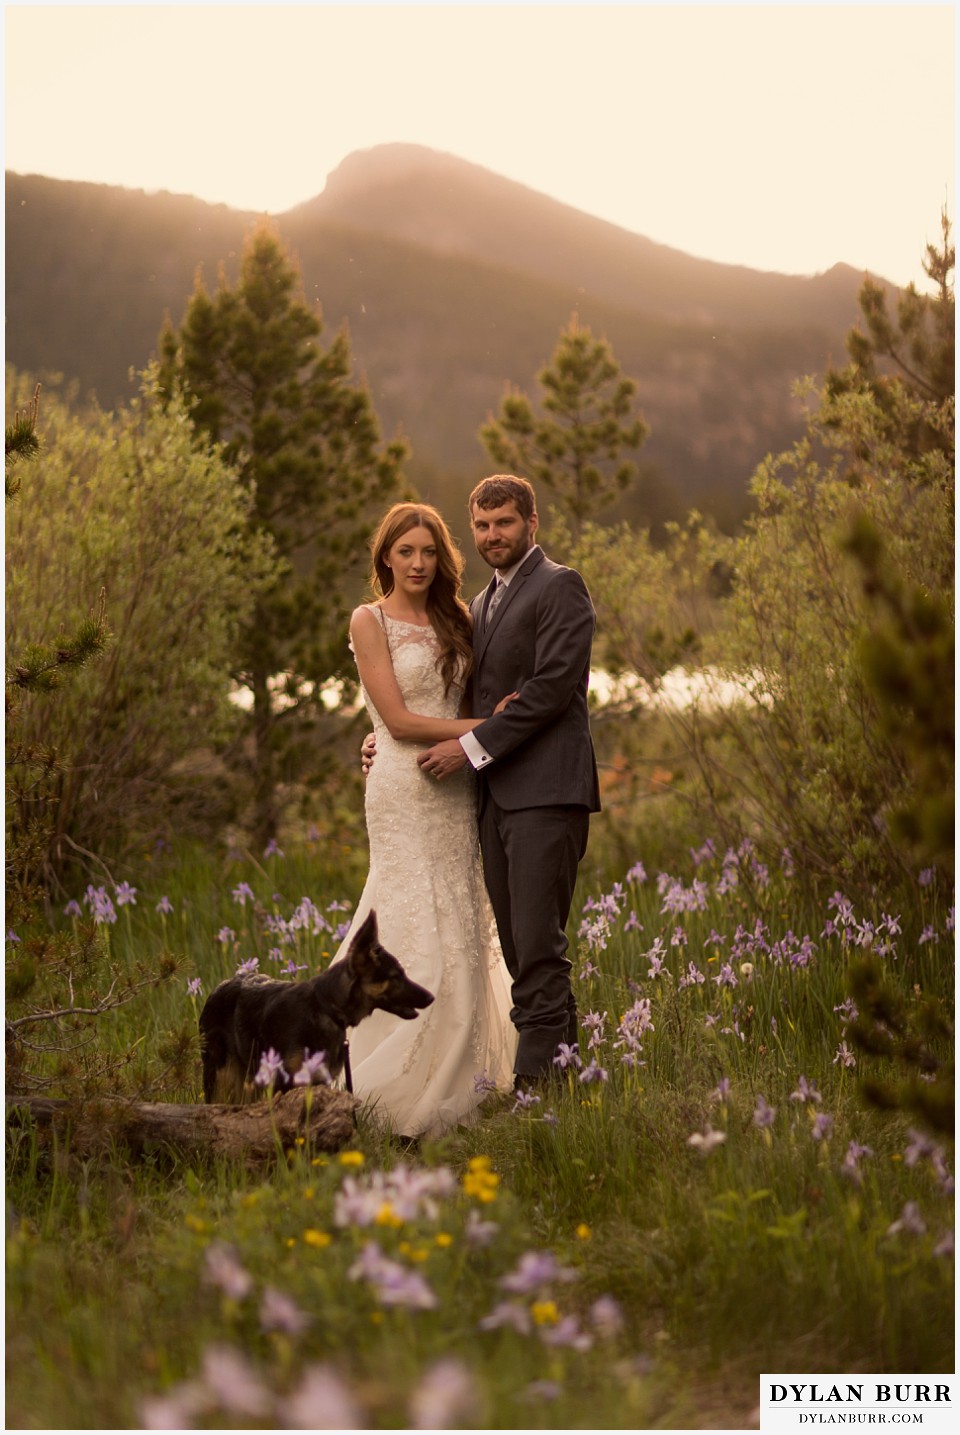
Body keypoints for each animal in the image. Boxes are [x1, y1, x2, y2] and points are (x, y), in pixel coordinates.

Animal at [196, 912, 433, 1102]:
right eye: (397, 976)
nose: (431, 997)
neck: (325, 1007)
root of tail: (221, 986)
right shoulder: (286, 1082)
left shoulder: (318, 1081)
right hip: (221, 1075)